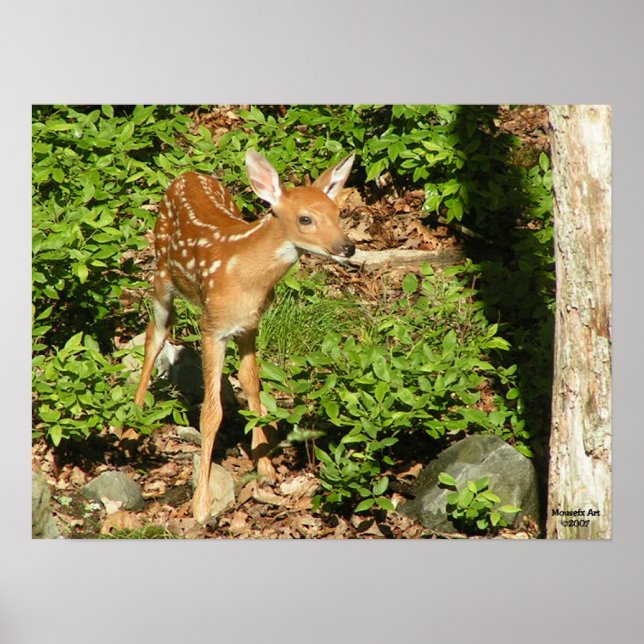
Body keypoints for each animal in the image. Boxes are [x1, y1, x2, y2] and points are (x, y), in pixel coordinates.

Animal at [134, 149, 356, 524]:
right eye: (306, 219)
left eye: (338, 212)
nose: (347, 247)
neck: (246, 275)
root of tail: (188, 175)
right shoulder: (213, 327)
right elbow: (211, 413)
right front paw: (201, 506)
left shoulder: (250, 325)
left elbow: (253, 387)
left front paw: (265, 467)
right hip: (161, 275)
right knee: (155, 335)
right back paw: (131, 419)